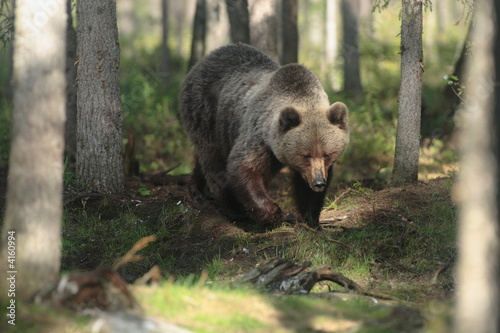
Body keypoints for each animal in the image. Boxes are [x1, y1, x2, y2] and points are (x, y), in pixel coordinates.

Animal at [179, 43, 348, 228]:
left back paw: (197, 189)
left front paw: (312, 219)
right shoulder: (259, 138)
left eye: (327, 154)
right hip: (207, 114)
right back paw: (233, 209)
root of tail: (202, 61)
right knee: (212, 158)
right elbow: (244, 166)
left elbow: (306, 187)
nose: (318, 183)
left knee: (201, 157)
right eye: (306, 155)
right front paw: (274, 213)